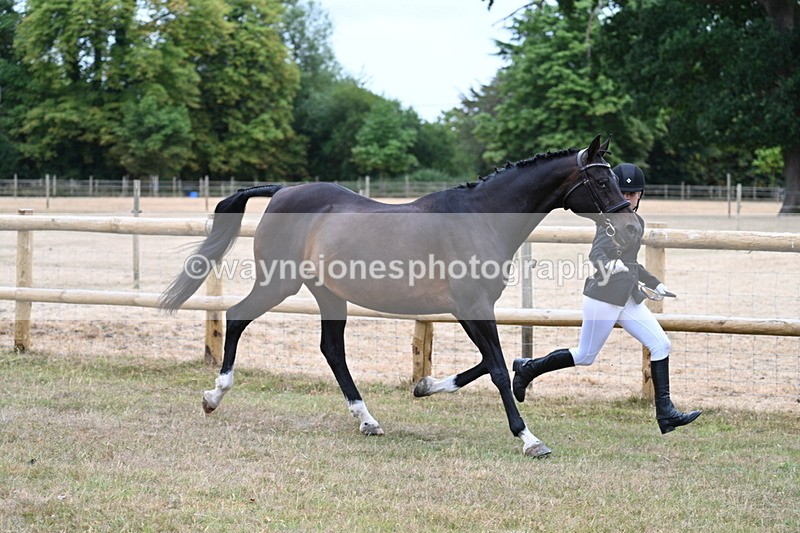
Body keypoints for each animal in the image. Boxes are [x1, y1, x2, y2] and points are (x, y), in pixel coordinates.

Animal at [159, 135, 641, 457]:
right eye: (601, 183)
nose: (633, 227)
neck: (478, 219)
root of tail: (283, 191)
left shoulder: (468, 309)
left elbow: (491, 364)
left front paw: (425, 386)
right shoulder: (472, 307)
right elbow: (497, 369)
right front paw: (529, 439)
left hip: (326, 294)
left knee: (331, 349)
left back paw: (367, 420)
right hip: (279, 282)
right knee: (238, 317)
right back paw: (214, 396)